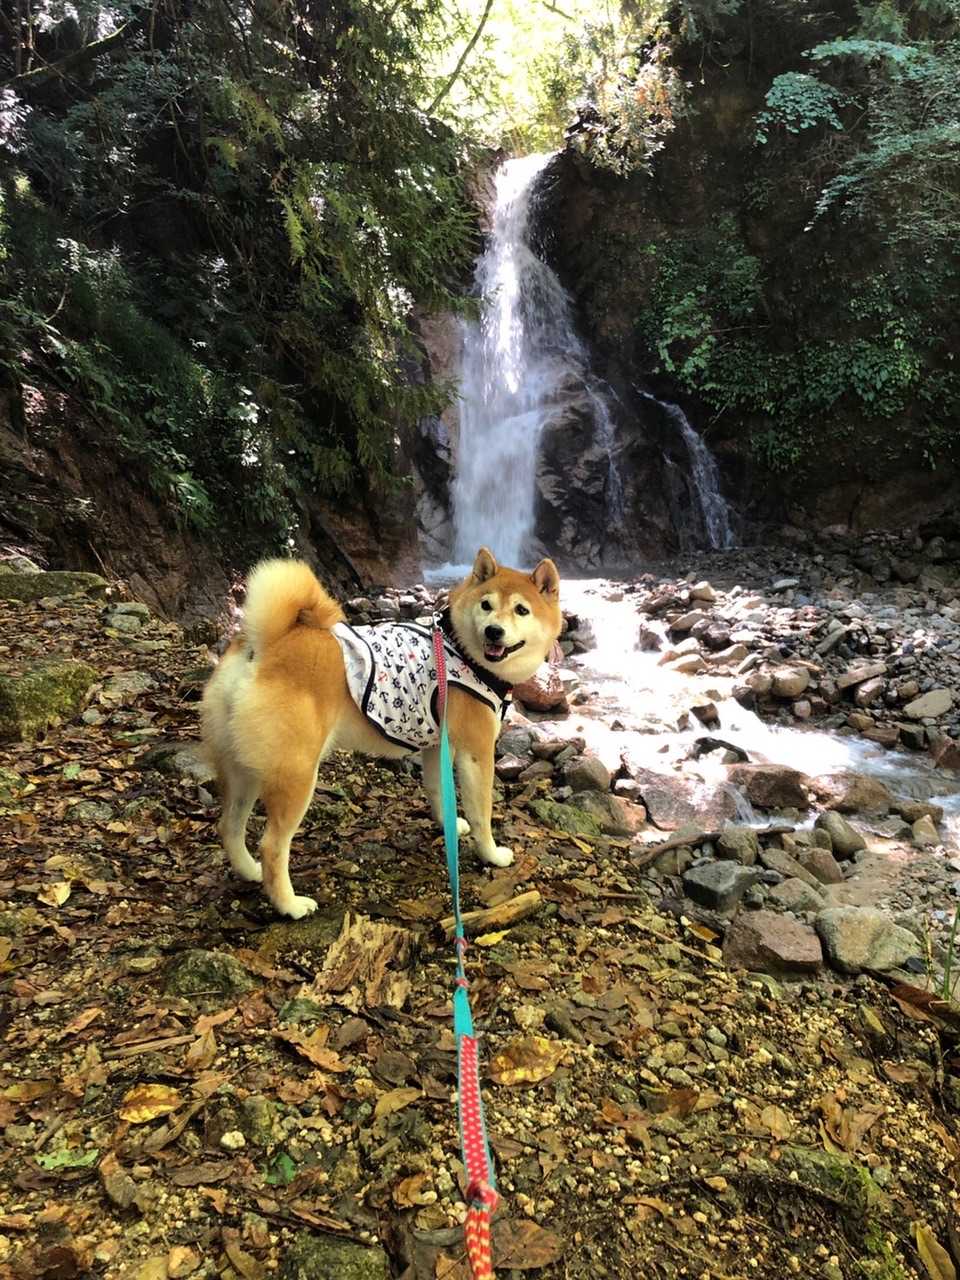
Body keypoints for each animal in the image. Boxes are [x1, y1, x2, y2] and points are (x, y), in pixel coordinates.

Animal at [201, 547, 562, 918]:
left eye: (521, 610)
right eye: (486, 605)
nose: (493, 632)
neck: (461, 649)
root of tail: (264, 646)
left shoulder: (437, 745)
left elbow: (437, 791)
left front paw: (448, 825)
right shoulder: (477, 753)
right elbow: (482, 813)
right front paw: (491, 854)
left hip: (244, 770)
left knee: (229, 826)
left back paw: (250, 871)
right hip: (295, 775)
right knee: (272, 845)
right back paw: (290, 904)